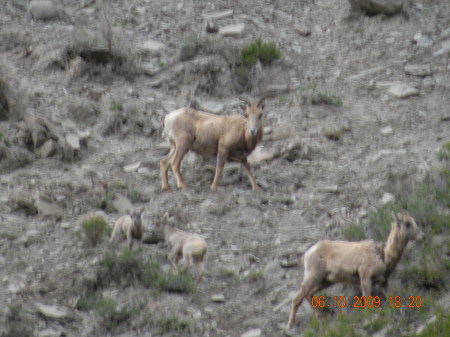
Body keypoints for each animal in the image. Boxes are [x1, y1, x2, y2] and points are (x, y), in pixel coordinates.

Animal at [286, 210, 424, 328]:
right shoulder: (365, 278)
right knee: (298, 298)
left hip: (325, 281)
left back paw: (322, 319)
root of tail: (307, 254)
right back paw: (290, 326)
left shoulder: (384, 282)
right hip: (313, 277)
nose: (422, 236)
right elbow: (368, 302)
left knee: (309, 295)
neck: (382, 255)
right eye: (407, 224)